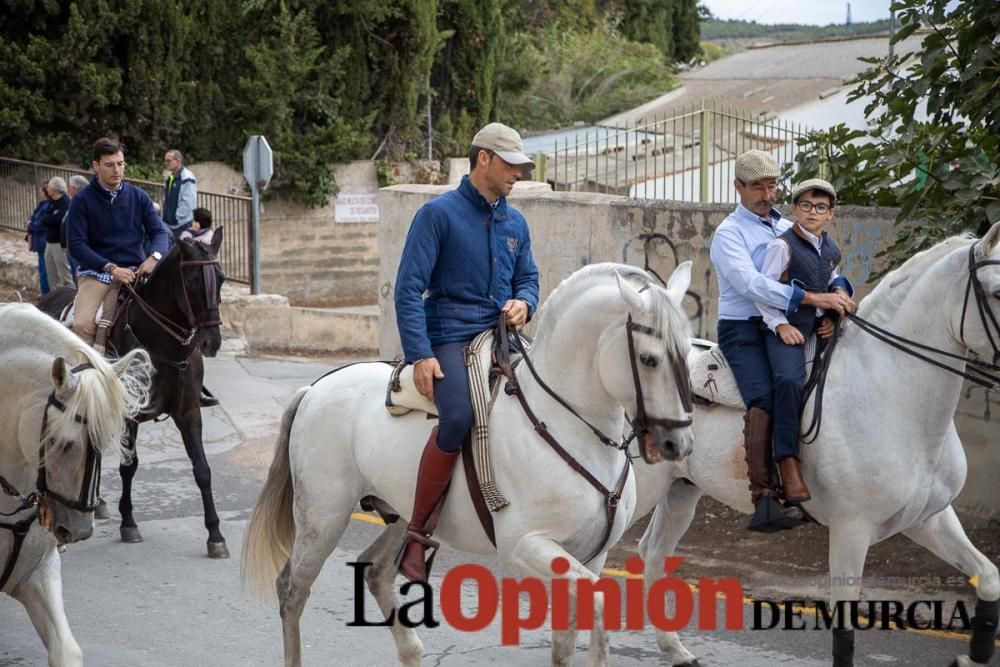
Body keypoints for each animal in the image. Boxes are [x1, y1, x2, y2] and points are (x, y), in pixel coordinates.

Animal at [37, 232, 230, 560]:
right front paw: (128, 523)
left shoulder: (189, 412)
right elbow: (129, 466)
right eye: (192, 281)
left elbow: (202, 469)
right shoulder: (131, 415)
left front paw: (215, 535)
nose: (211, 341)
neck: (162, 346)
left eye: (221, 278)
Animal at [242, 264, 696, 664]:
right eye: (649, 359)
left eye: (688, 350)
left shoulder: (588, 557)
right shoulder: (525, 546)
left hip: (404, 515)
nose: (678, 443)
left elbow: (566, 642)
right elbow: (599, 602)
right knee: (292, 589)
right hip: (322, 519)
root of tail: (316, 388)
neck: (566, 424)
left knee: (376, 572)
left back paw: (412, 652)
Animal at [632, 222, 1000, 664]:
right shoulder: (851, 529)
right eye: (998, 292)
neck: (890, 392)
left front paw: (974, 654)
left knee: (653, 552)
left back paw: (675, 648)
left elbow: (989, 577)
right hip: (639, 488)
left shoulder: (929, 518)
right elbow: (844, 629)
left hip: (681, 489)